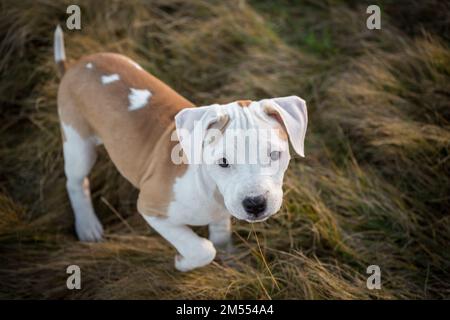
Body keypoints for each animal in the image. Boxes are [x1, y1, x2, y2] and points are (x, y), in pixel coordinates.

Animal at [52, 25, 306, 272]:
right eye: (223, 162)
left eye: (275, 155)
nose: (255, 204)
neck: (210, 187)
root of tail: (76, 65)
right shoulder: (152, 207)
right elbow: (202, 248)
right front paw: (183, 263)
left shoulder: (221, 214)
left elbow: (220, 237)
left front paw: (231, 261)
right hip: (78, 143)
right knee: (76, 181)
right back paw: (87, 226)